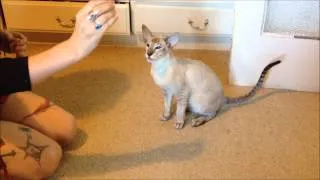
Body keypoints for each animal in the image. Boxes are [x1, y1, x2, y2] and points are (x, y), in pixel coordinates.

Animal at [141, 24, 282, 129]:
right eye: (147, 45)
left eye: (158, 48)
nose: (148, 54)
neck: (159, 68)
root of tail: (223, 97)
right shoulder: (167, 92)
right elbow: (167, 106)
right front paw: (166, 116)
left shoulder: (182, 92)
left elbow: (179, 110)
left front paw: (179, 122)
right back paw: (189, 111)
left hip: (196, 100)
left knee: (212, 113)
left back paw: (197, 121)